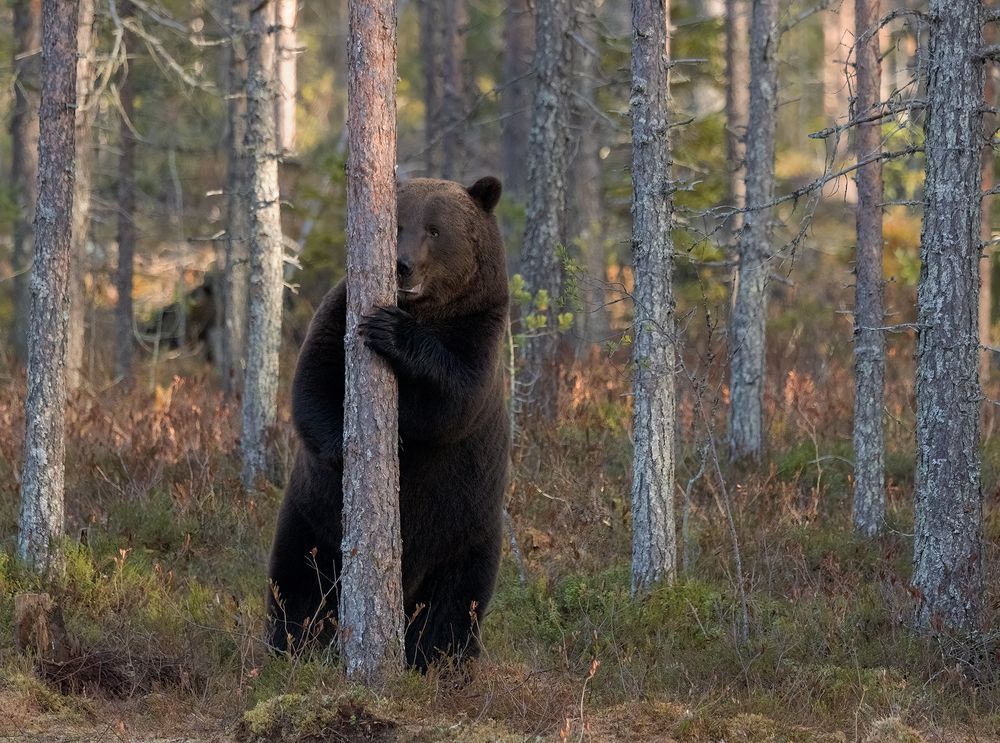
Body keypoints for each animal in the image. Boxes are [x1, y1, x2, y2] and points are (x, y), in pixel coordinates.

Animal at [267, 176, 510, 672]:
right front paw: (354, 447)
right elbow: (313, 382)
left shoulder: (480, 328)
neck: (426, 310)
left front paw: (393, 333)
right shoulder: (340, 309)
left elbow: (454, 400)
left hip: (466, 528)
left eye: (435, 229)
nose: (402, 266)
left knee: (455, 602)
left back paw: (443, 661)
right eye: (396, 222)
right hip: (313, 520)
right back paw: (292, 646)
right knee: (298, 584)